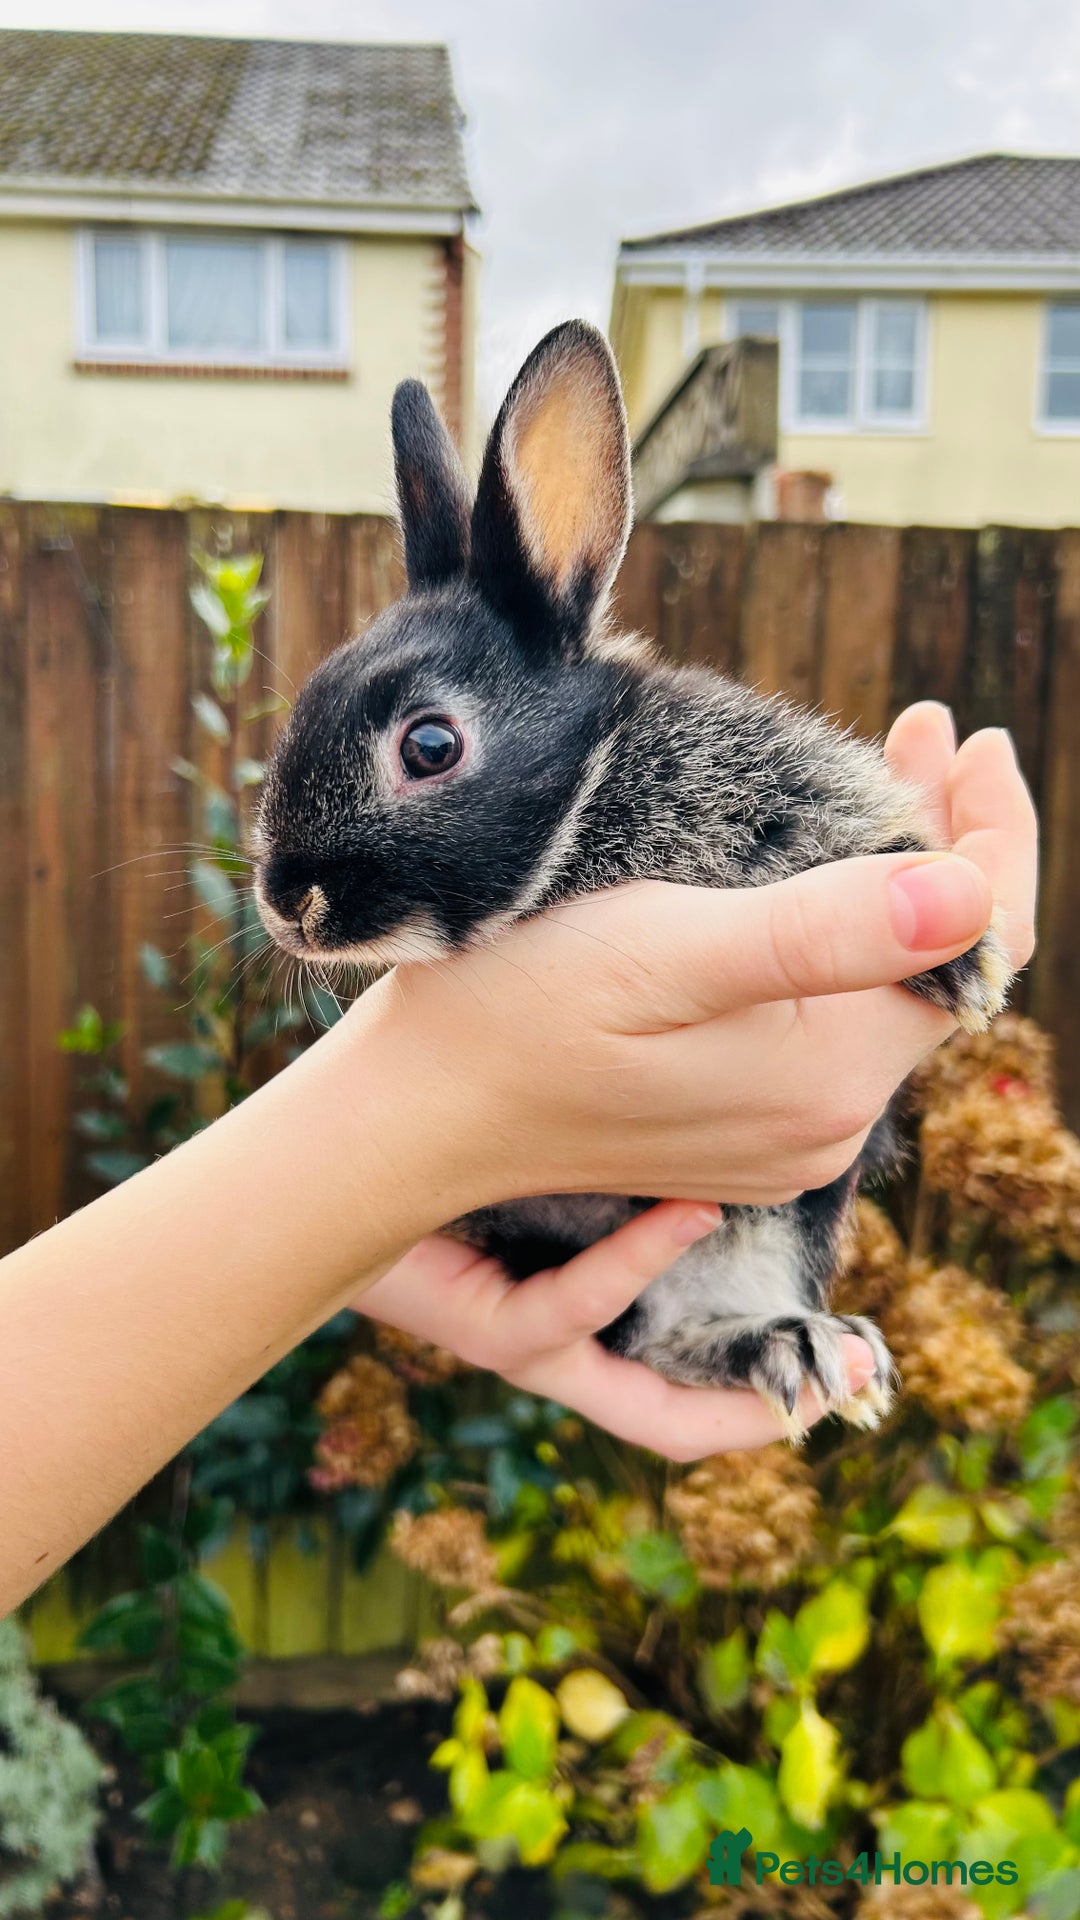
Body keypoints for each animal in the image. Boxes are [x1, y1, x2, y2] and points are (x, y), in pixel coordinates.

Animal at [252, 319, 1012, 1434]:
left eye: (429, 746)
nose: (287, 906)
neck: (596, 797)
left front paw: (965, 962)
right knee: (649, 1333)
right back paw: (784, 1350)